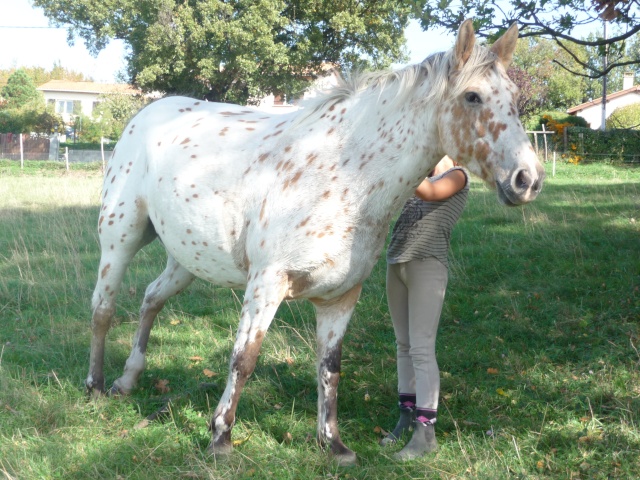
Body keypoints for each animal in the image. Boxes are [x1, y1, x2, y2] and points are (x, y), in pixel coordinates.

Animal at [86, 19, 544, 464]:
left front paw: (333, 444)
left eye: (515, 96)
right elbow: (244, 359)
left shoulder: (341, 297)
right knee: (103, 309)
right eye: (472, 96)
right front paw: (220, 438)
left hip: (186, 260)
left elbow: (329, 368)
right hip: (120, 238)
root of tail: (146, 114)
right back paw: (96, 386)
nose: (528, 179)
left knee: (150, 299)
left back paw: (128, 379)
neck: (344, 176)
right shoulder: (266, 285)